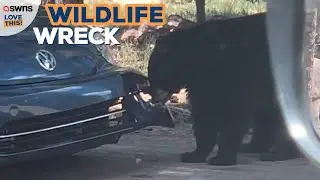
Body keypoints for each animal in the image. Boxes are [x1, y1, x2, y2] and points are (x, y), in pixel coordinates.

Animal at [148, 11, 300, 165]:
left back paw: (279, 153)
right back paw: (252, 146)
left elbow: (235, 111)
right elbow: (205, 111)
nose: (153, 99)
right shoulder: (202, 83)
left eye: (153, 75)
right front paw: (194, 154)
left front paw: (222, 158)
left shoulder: (236, 70)